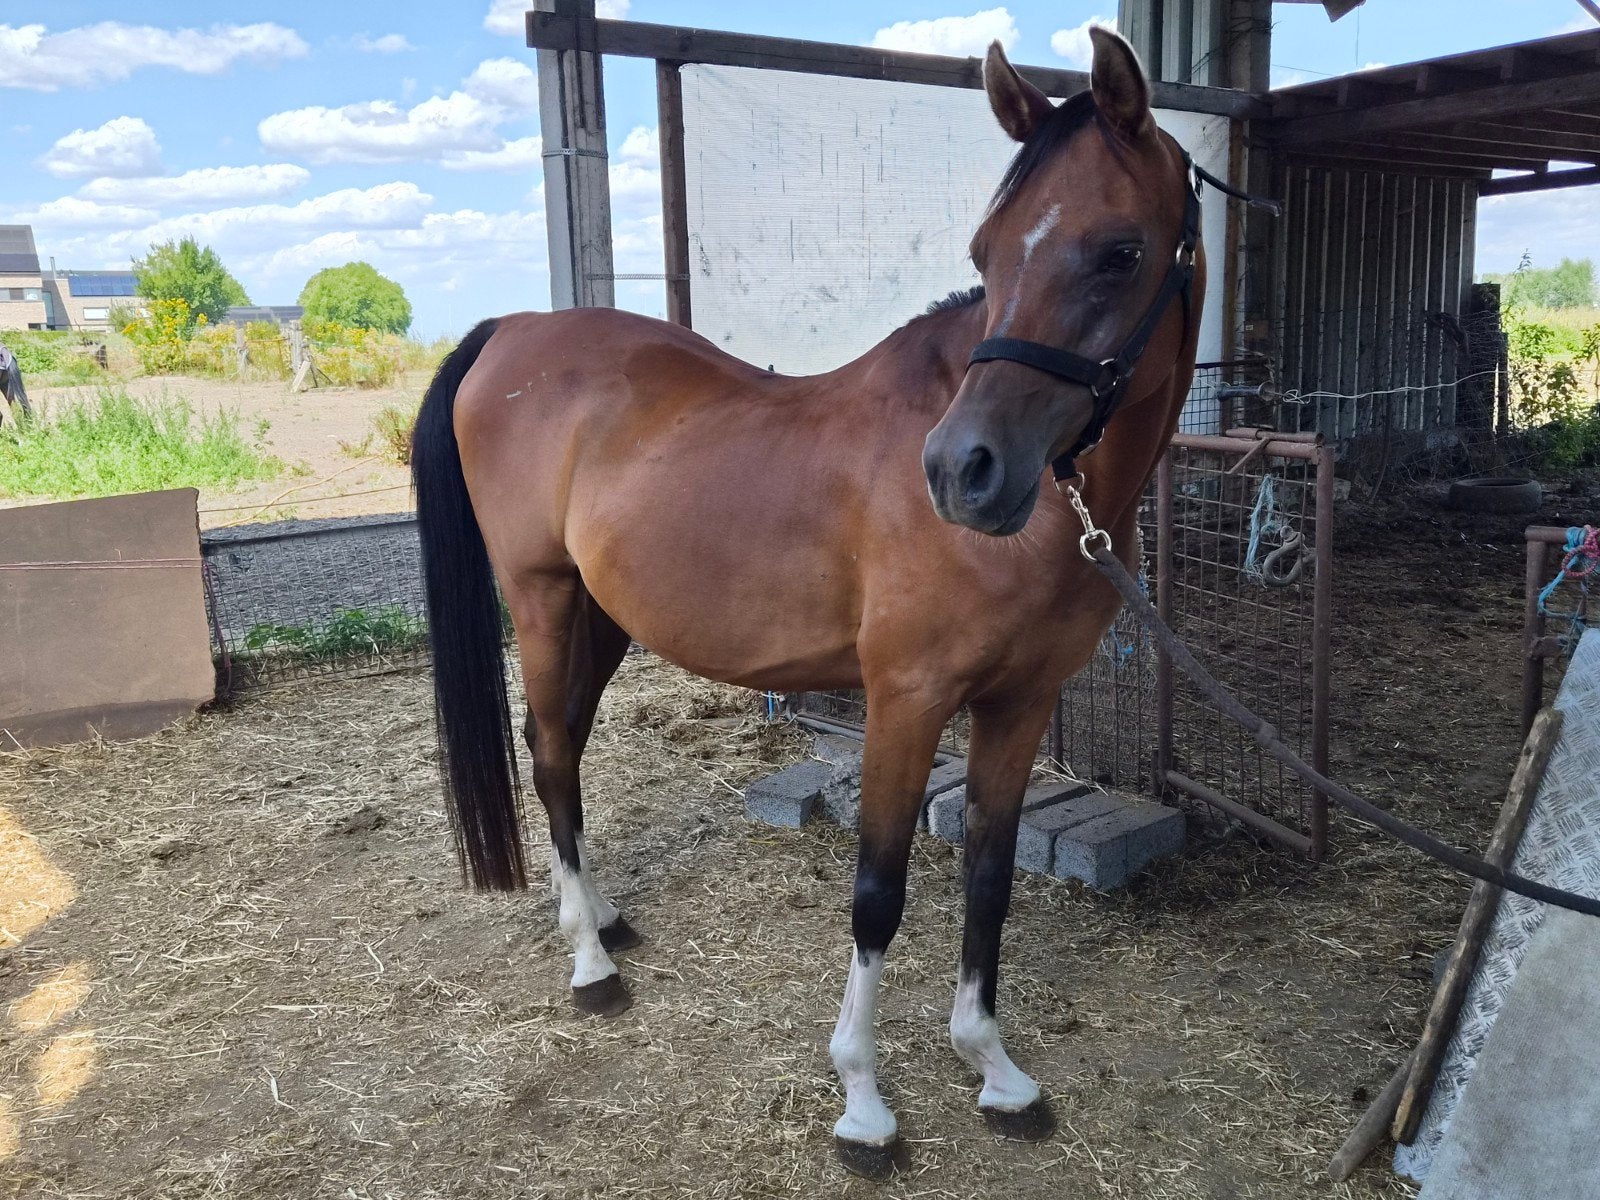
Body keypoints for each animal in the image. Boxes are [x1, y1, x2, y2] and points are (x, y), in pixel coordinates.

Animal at [411, 28, 1204, 1178]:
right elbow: (878, 894)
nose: (962, 472)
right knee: (552, 749)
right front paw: (864, 1102)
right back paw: (591, 963)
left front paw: (993, 1069)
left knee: (557, 747)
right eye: (987, 255)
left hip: (603, 614)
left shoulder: (1021, 704)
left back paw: (603, 914)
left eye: (1120, 252)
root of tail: (513, 330)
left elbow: (990, 875)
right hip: (543, 598)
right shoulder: (905, 701)